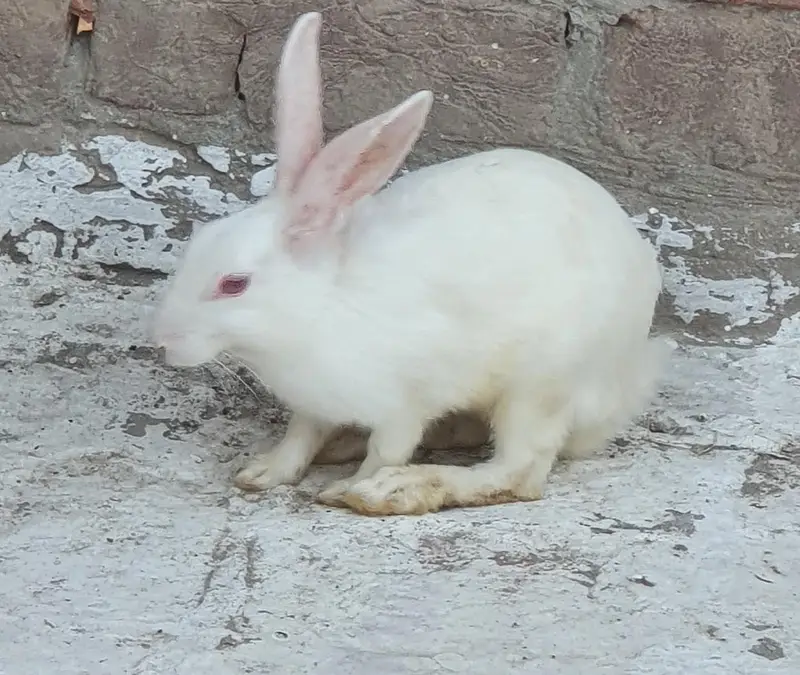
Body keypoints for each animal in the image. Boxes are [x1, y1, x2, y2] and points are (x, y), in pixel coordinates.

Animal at [150, 11, 668, 516]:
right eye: (196, 241)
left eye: (234, 284)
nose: (163, 342)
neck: (318, 306)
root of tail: (627, 378)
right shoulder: (315, 405)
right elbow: (301, 436)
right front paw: (263, 472)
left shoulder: (405, 400)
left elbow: (388, 447)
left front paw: (351, 489)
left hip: (540, 387)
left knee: (518, 472)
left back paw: (401, 488)